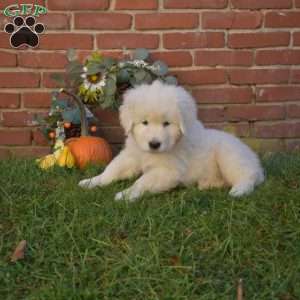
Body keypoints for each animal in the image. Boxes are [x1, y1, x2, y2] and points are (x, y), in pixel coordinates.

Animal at [78, 81, 264, 200]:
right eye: (144, 122)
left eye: (167, 123)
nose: (154, 144)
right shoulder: (131, 156)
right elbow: (111, 170)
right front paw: (91, 181)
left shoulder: (167, 171)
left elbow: (142, 182)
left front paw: (125, 195)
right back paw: (207, 184)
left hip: (230, 156)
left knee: (247, 176)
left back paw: (238, 191)